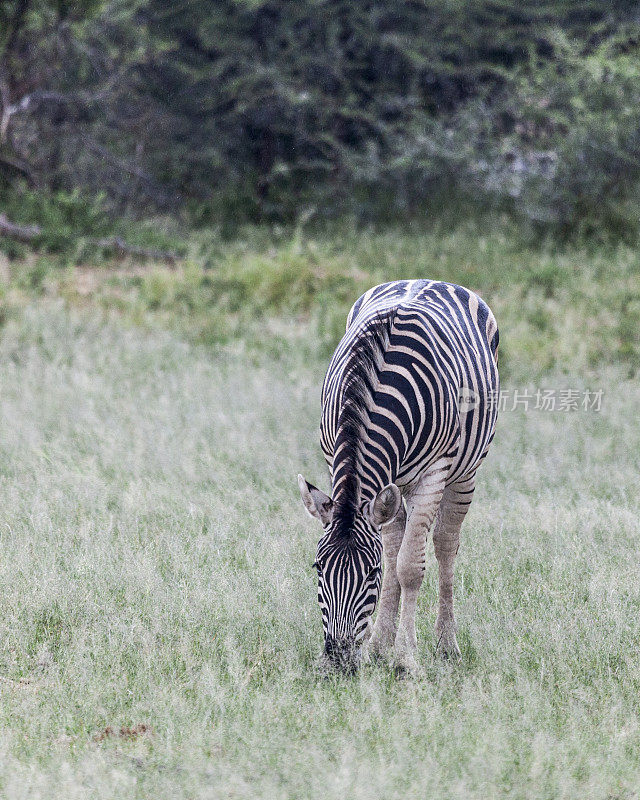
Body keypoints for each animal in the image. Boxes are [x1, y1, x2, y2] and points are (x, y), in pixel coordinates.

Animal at [298, 278, 498, 672]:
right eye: (317, 567)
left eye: (370, 575)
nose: (338, 661)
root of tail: (430, 279)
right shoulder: (333, 457)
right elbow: (394, 558)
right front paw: (380, 646)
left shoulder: (435, 472)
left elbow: (408, 567)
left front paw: (406, 657)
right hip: (391, 489)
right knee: (396, 541)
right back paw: (379, 645)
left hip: (464, 472)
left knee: (444, 545)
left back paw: (446, 645)